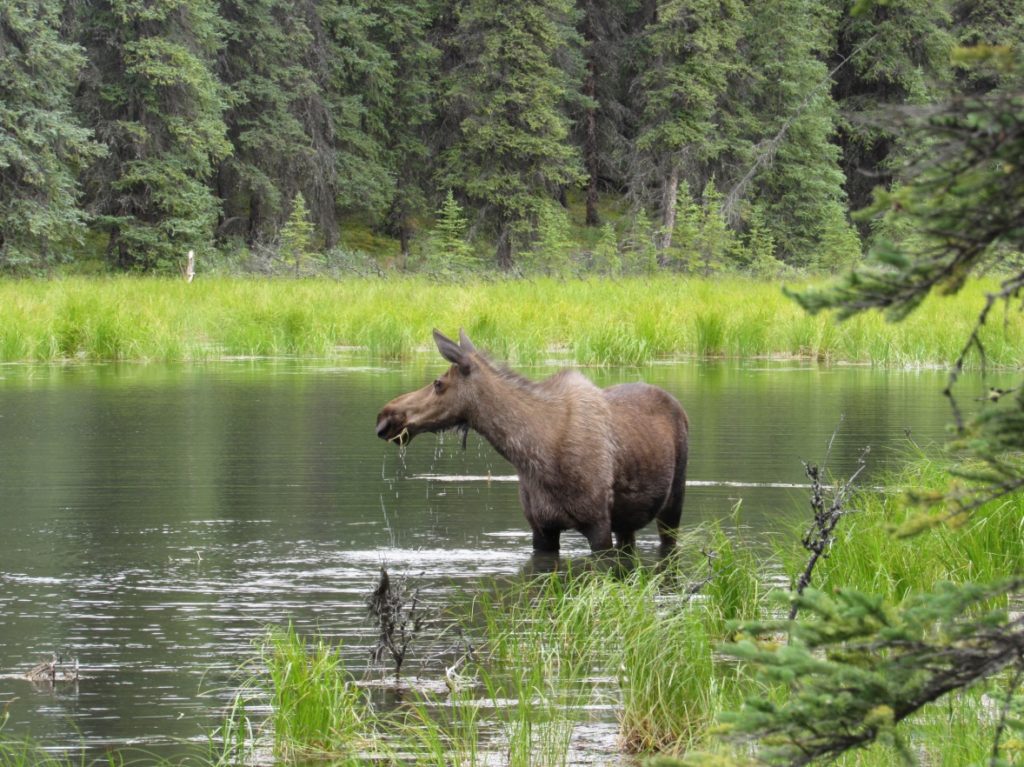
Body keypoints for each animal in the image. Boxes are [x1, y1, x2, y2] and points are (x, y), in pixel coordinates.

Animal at [376, 327, 688, 548]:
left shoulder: (598, 524)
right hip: (627, 523)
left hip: (673, 504)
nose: (385, 417)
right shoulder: (541, 528)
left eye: (438, 383)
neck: (533, 454)